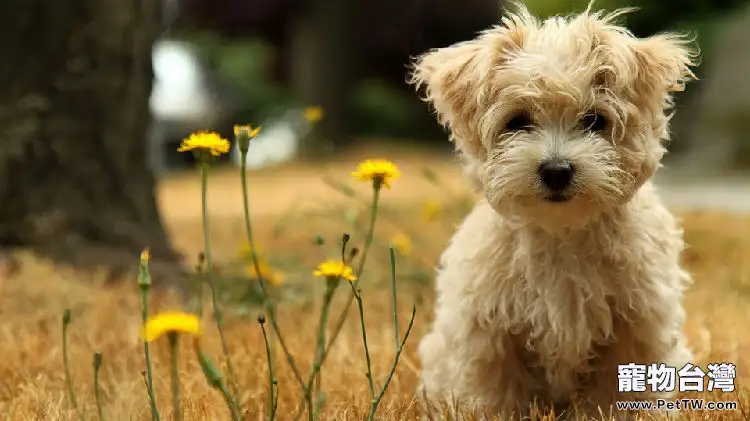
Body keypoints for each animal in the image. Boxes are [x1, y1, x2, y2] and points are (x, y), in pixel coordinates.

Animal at [412, 4, 700, 420]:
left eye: (595, 120)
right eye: (517, 122)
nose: (556, 170)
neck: (562, 232)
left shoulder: (639, 322)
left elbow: (620, 392)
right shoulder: (488, 328)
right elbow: (495, 391)